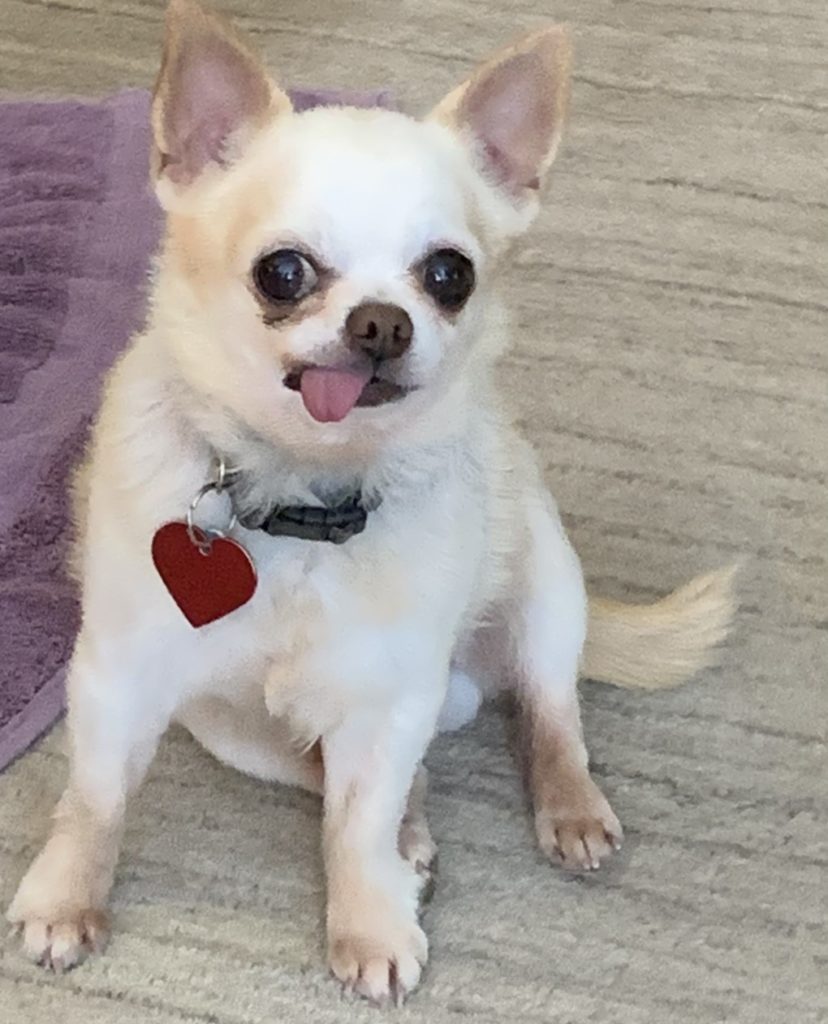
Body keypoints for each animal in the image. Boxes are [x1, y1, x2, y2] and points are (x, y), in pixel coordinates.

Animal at [6, 0, 728, 1003]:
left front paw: (368, 926)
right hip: (235, 731)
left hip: (546, 594)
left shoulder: (391, 702)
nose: (383, 322)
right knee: (343, 775)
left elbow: (356, 825)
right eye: (283, 272)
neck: (301, 501)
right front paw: (67, 897)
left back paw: (566, 806)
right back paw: (415, 831)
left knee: (548, 713)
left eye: (450, 275)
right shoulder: (120, 681)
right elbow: (96, 799)